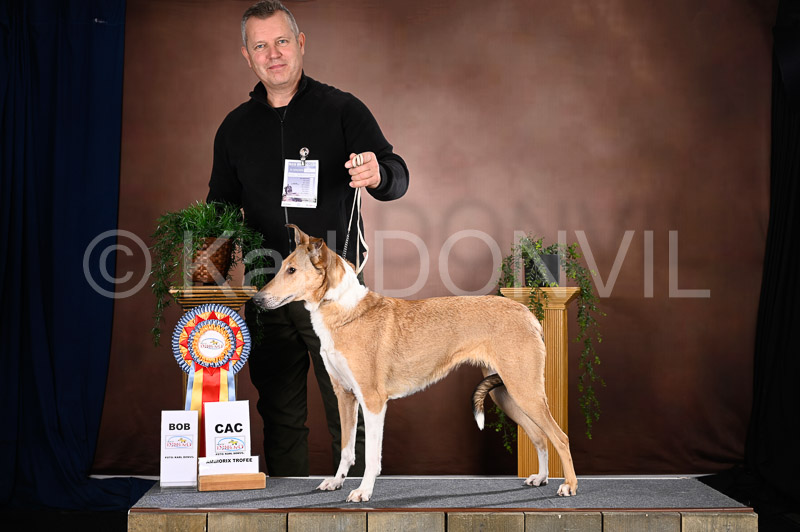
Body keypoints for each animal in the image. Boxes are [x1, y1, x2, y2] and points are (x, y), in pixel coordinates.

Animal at [252, 225, 577, 502]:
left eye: (292, 270)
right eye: (282, 267)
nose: (256, 300)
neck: (341, 309)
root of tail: (528, 313)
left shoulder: (372, 400)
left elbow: (371, 455)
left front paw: (363, 492)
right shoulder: (344, 396)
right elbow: (346, 448)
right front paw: (336, 481)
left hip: (524, 389)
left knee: (560, 436)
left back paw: (569, 486)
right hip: (505, 392)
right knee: (540, 435)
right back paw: (541, 478)